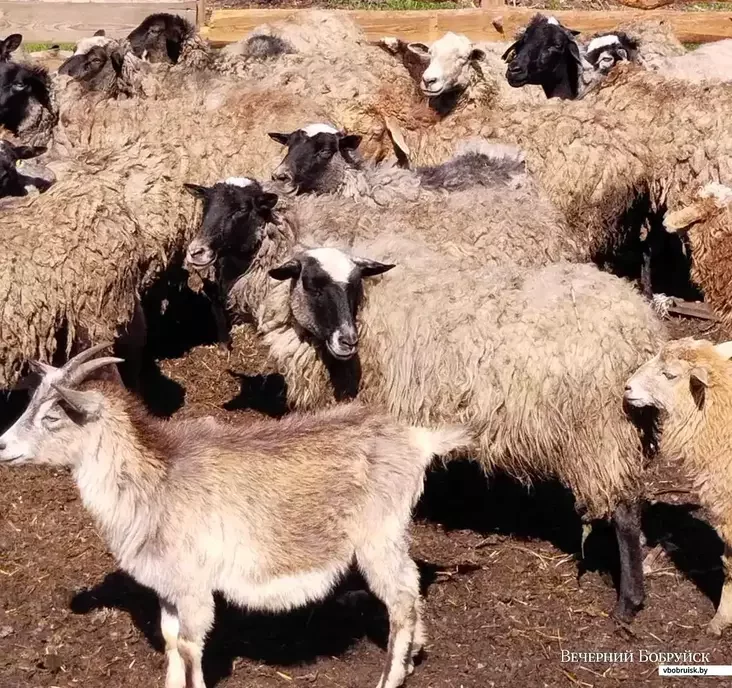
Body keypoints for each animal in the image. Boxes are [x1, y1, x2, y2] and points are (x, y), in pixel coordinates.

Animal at [0, 342, 468, 688]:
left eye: (53, 416)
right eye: (32, 403)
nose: (3, 445)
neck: (156, 479)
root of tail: (417, 439)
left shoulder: (193, 586)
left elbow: (190, 646)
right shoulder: (168, 585)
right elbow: (171, 641)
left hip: (377, 536)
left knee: (401, 598)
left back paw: (390, 677)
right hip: (393, 535)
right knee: (411, 584)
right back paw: (412, 657)